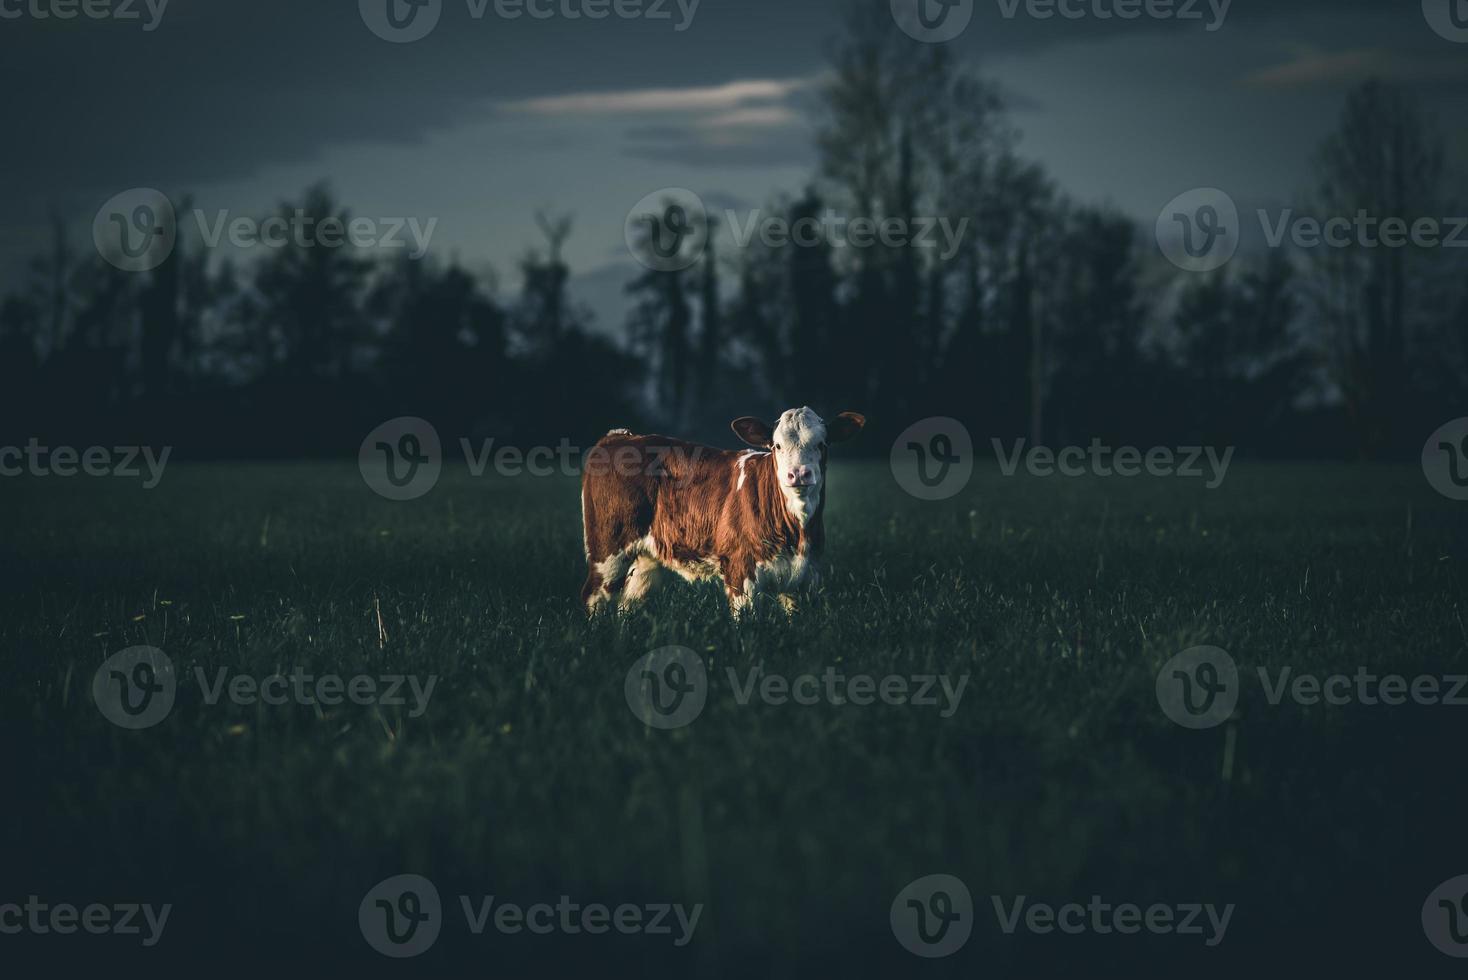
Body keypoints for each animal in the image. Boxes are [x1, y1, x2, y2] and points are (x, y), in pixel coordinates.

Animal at [578, 410, 863, 616]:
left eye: (822, 444)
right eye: (777, 446)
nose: (799, 474)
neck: (797, 531)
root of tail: (621, 437)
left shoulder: (806, 578)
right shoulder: (741, 572)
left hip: (646, 560)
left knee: (628, 604)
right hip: (607, 549)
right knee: (595, 596)